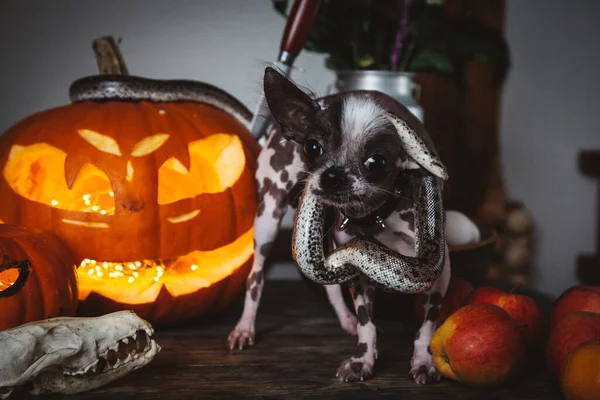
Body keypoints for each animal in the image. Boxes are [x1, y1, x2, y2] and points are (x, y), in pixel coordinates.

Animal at [230, 66, 454, 384]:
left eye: (376, 162)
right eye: (312, 147)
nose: (331, 176)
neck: (377, 217)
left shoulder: (440, 273)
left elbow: (427, 325)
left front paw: (424, 360)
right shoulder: (359, 271)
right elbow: (366, 322)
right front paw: (363, 360)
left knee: (330, 286)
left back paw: (346, 320)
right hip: (267, 220)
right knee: (256, 276)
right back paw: (245, 326)